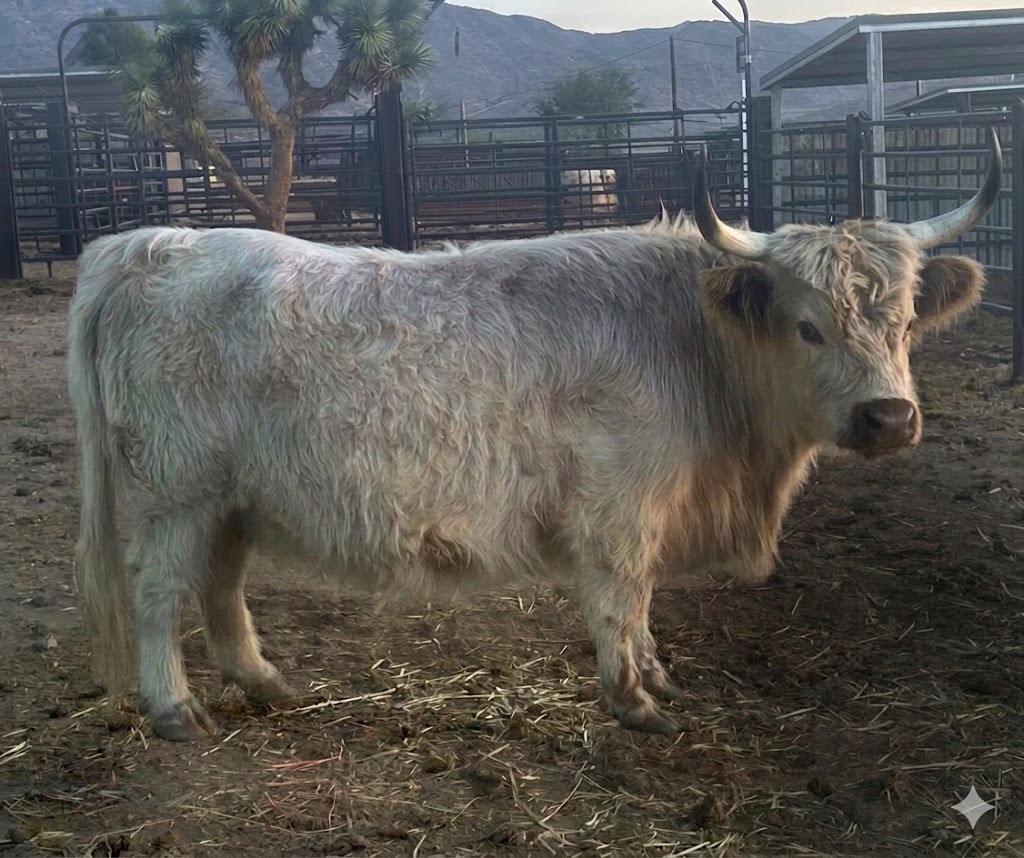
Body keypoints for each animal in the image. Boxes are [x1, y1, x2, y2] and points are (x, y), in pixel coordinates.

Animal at [67, 131, 1002, 742]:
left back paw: (264, 683)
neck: (691, 338)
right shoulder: (617, 508)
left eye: (906, 321)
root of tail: (156, 241)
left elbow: (643, 602)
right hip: (174, 495)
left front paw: (655, 673)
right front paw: (633, 699)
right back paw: (173, 709)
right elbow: (621, 594)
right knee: (160, 592)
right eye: (808, 327)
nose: (888, 418)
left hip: (230, 498)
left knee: (222, 587)